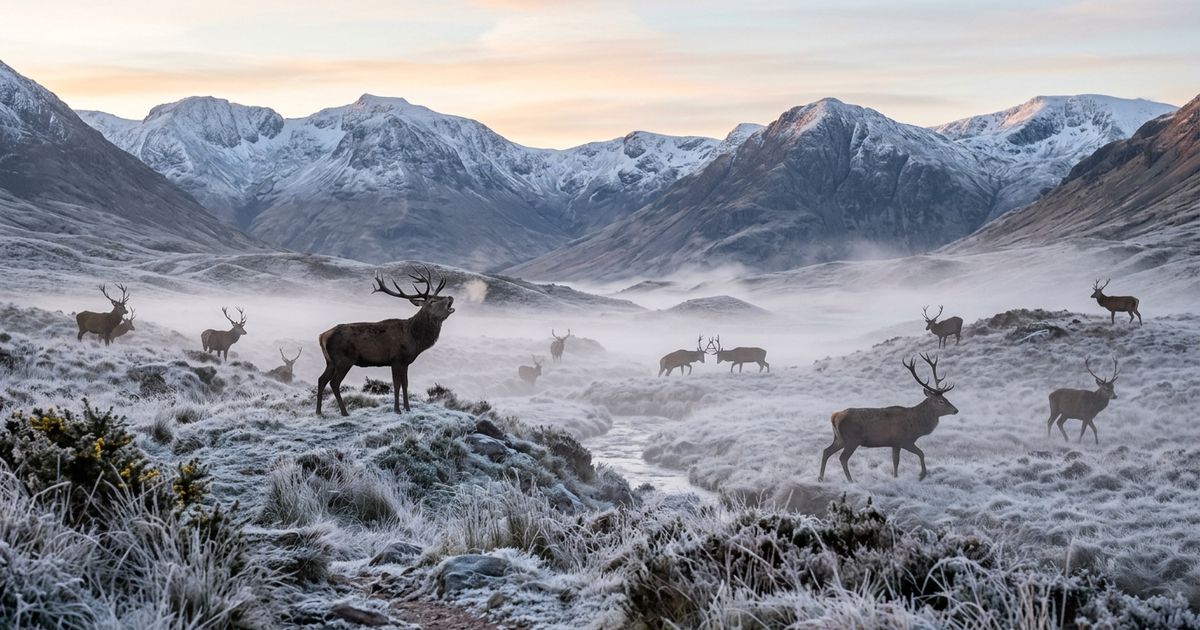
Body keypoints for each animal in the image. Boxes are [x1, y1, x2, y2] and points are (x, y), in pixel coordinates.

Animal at [317, 267, 455, 416]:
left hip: (330, 361)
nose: (450, 297)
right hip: (344, 360)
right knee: (334, 383)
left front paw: (408, 408)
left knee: (321, 380)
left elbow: (405, 384)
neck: (414, 338)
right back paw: (344, 412)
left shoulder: (405, 362)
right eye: (432, 301)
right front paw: (397, 410)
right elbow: (396, 384)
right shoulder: (395, 359)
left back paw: (319, 412)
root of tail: (322, 336)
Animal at [819, 354, 958, 483]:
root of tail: (835, 416)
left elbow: (895, 462)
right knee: (842, 458)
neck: (917, 425)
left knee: (826, 451)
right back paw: (850, 480)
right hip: (852, 439)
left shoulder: (894, 443)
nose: (956, 410)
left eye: (946, 398)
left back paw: (821, 478)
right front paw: (921, 475)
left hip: (840, 438)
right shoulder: (905, 440)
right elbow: (921, 453)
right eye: (940, 401)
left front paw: (895, 477)